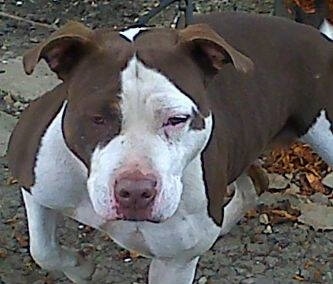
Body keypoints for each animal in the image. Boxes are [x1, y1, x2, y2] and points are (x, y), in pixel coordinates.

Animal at [6, 11, 332, 284]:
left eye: (177, 119)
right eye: (97, 118)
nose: (135, 192)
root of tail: (319, 38)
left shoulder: (175, 264)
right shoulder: (35, 184)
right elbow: (42, 250)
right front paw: (81, 268)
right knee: (254, 182)